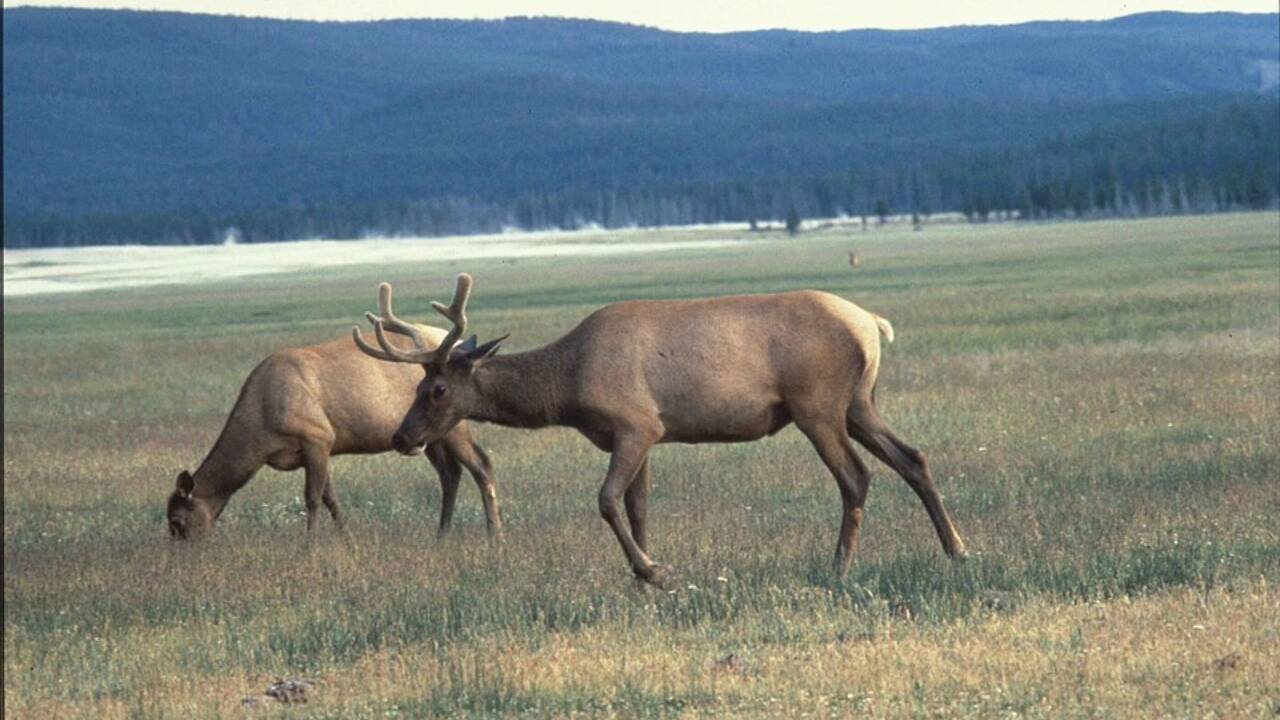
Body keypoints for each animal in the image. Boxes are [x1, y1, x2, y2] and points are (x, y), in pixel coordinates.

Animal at [166, 326, 501, 542]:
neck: (260, 435)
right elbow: (332, 499)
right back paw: (441, 535)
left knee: (481, 465)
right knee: (450, 473)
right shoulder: (315, 449)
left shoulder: (316, 436)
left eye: (177, 521)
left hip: (453, 422)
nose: (182, 555)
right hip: (427, 434)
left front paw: (309, 550)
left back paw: (493, 535)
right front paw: (349, 543)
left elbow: (313, 499)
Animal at [353, 274, 966, 587]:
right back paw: (956, 550)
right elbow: (639, 506)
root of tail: (872, 325)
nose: (402, 437)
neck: (568, 386)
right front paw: (646, 580)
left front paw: (650, 569)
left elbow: (605, 500)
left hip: (817, 404)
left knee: (856, 477)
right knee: (913, 458)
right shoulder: (646, 436)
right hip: (859, 402)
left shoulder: (634, 424)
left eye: (435, 389)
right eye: (414, 387)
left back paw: (839, 565)